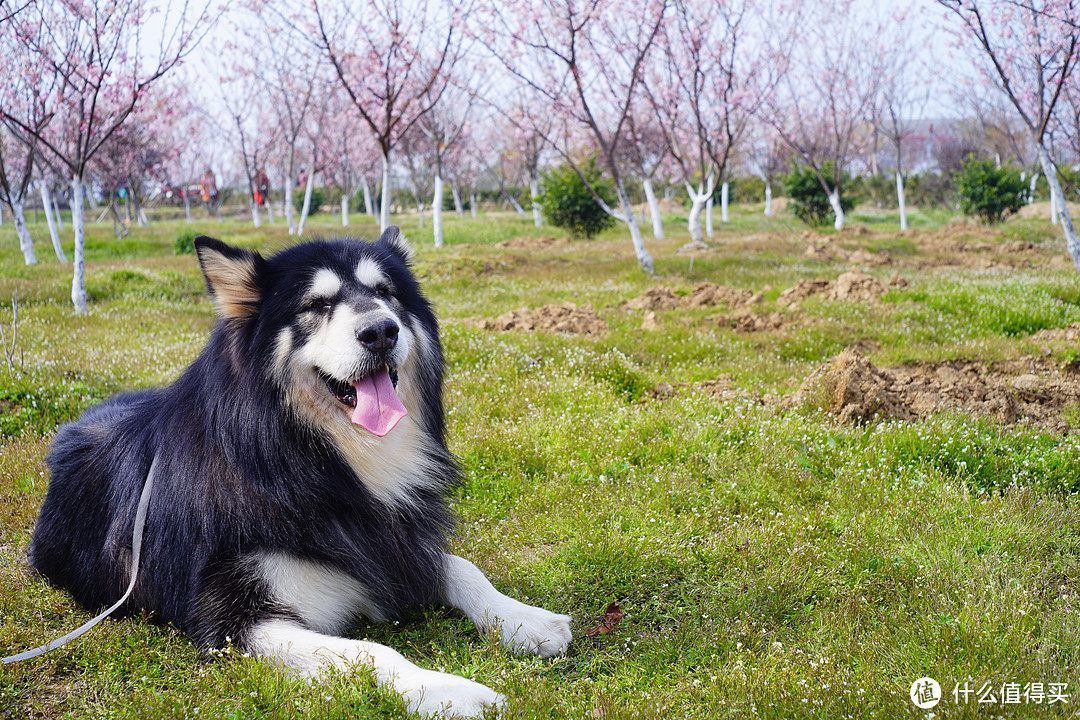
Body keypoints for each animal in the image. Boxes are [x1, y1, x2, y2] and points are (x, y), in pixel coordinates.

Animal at [27, 227, 574, 716]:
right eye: (316, 304)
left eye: (384, 292)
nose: (381, 331)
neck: (308, 460)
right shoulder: (232, 621)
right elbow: (372, 651)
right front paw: (449, 691)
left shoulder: (395, 544)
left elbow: (460, 566)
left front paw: (525, 620)